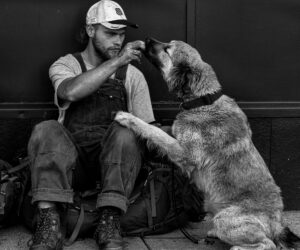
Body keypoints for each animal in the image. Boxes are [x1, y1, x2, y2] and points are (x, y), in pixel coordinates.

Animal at [113, 38, 298, 249]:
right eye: (168, 43)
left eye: (167, 49)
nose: (149, 40)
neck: (203, 101)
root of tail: (277, 224)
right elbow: (161, 130)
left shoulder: (185, 154)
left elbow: (156, 132)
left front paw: (128, 118)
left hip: (225, 219)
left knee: (267, 244)